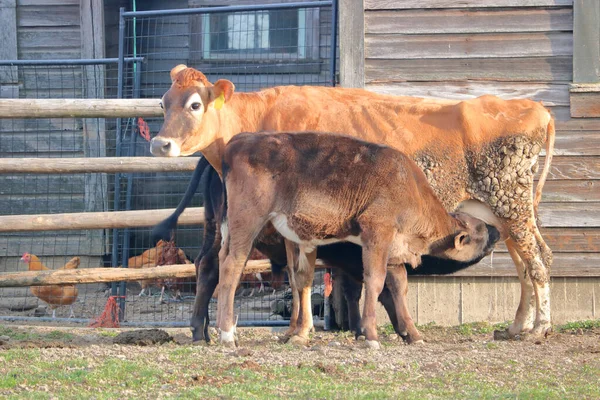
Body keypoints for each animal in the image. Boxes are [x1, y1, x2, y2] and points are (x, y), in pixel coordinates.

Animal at [217, 133, 502, 348]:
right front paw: (371, 336)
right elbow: (374, 282)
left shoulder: (393, 250)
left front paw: (414, 335)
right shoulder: (377, 232)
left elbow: (398, 287)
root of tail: (239, 140)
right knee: (233, 267)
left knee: (226, 264)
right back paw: (227, 335)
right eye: (480, 229)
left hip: (235, 232)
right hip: (247, 223)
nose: (497, 231)